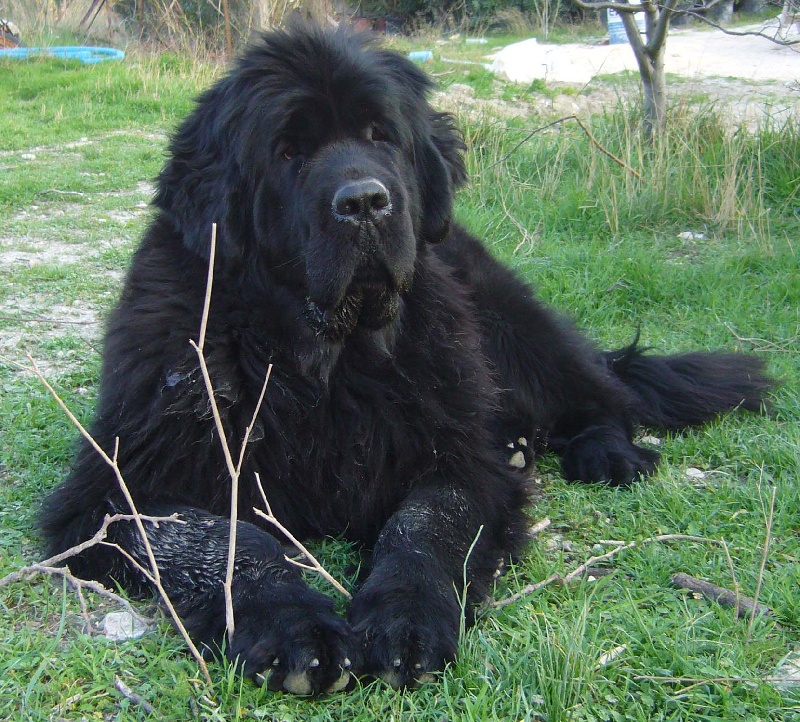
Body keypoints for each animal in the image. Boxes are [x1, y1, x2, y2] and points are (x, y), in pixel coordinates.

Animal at [40, 23, 772, 692]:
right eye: (287, 151)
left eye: (380, 136)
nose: (365, 201)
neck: (324, 364)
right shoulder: (120, 483)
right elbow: (220, 540)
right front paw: (292, 624)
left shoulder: (456, 454)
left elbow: (426, 522)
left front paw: (406, 617)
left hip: (511, 322)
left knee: (599, 397)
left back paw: (605, 452)